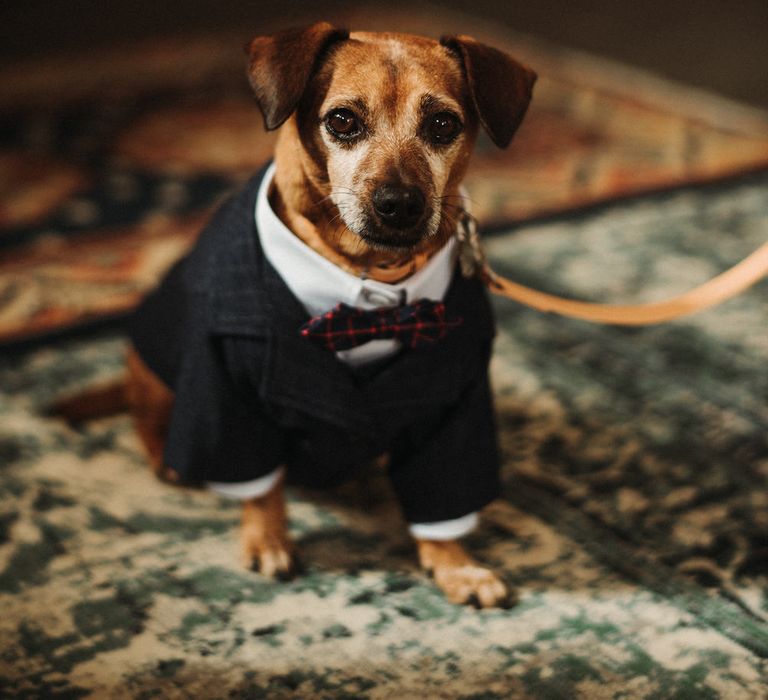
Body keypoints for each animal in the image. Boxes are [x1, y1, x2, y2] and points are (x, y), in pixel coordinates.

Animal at [54, 23, 536, 608]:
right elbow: (261, 486)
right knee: (147, 419)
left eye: (443, 124)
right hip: (156, 372)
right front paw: (267, 539)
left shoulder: (454, 403)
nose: (400, 203)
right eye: (342, 120)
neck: (368, 289)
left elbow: (442, 500)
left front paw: (456, 565)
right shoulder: (227, 394)